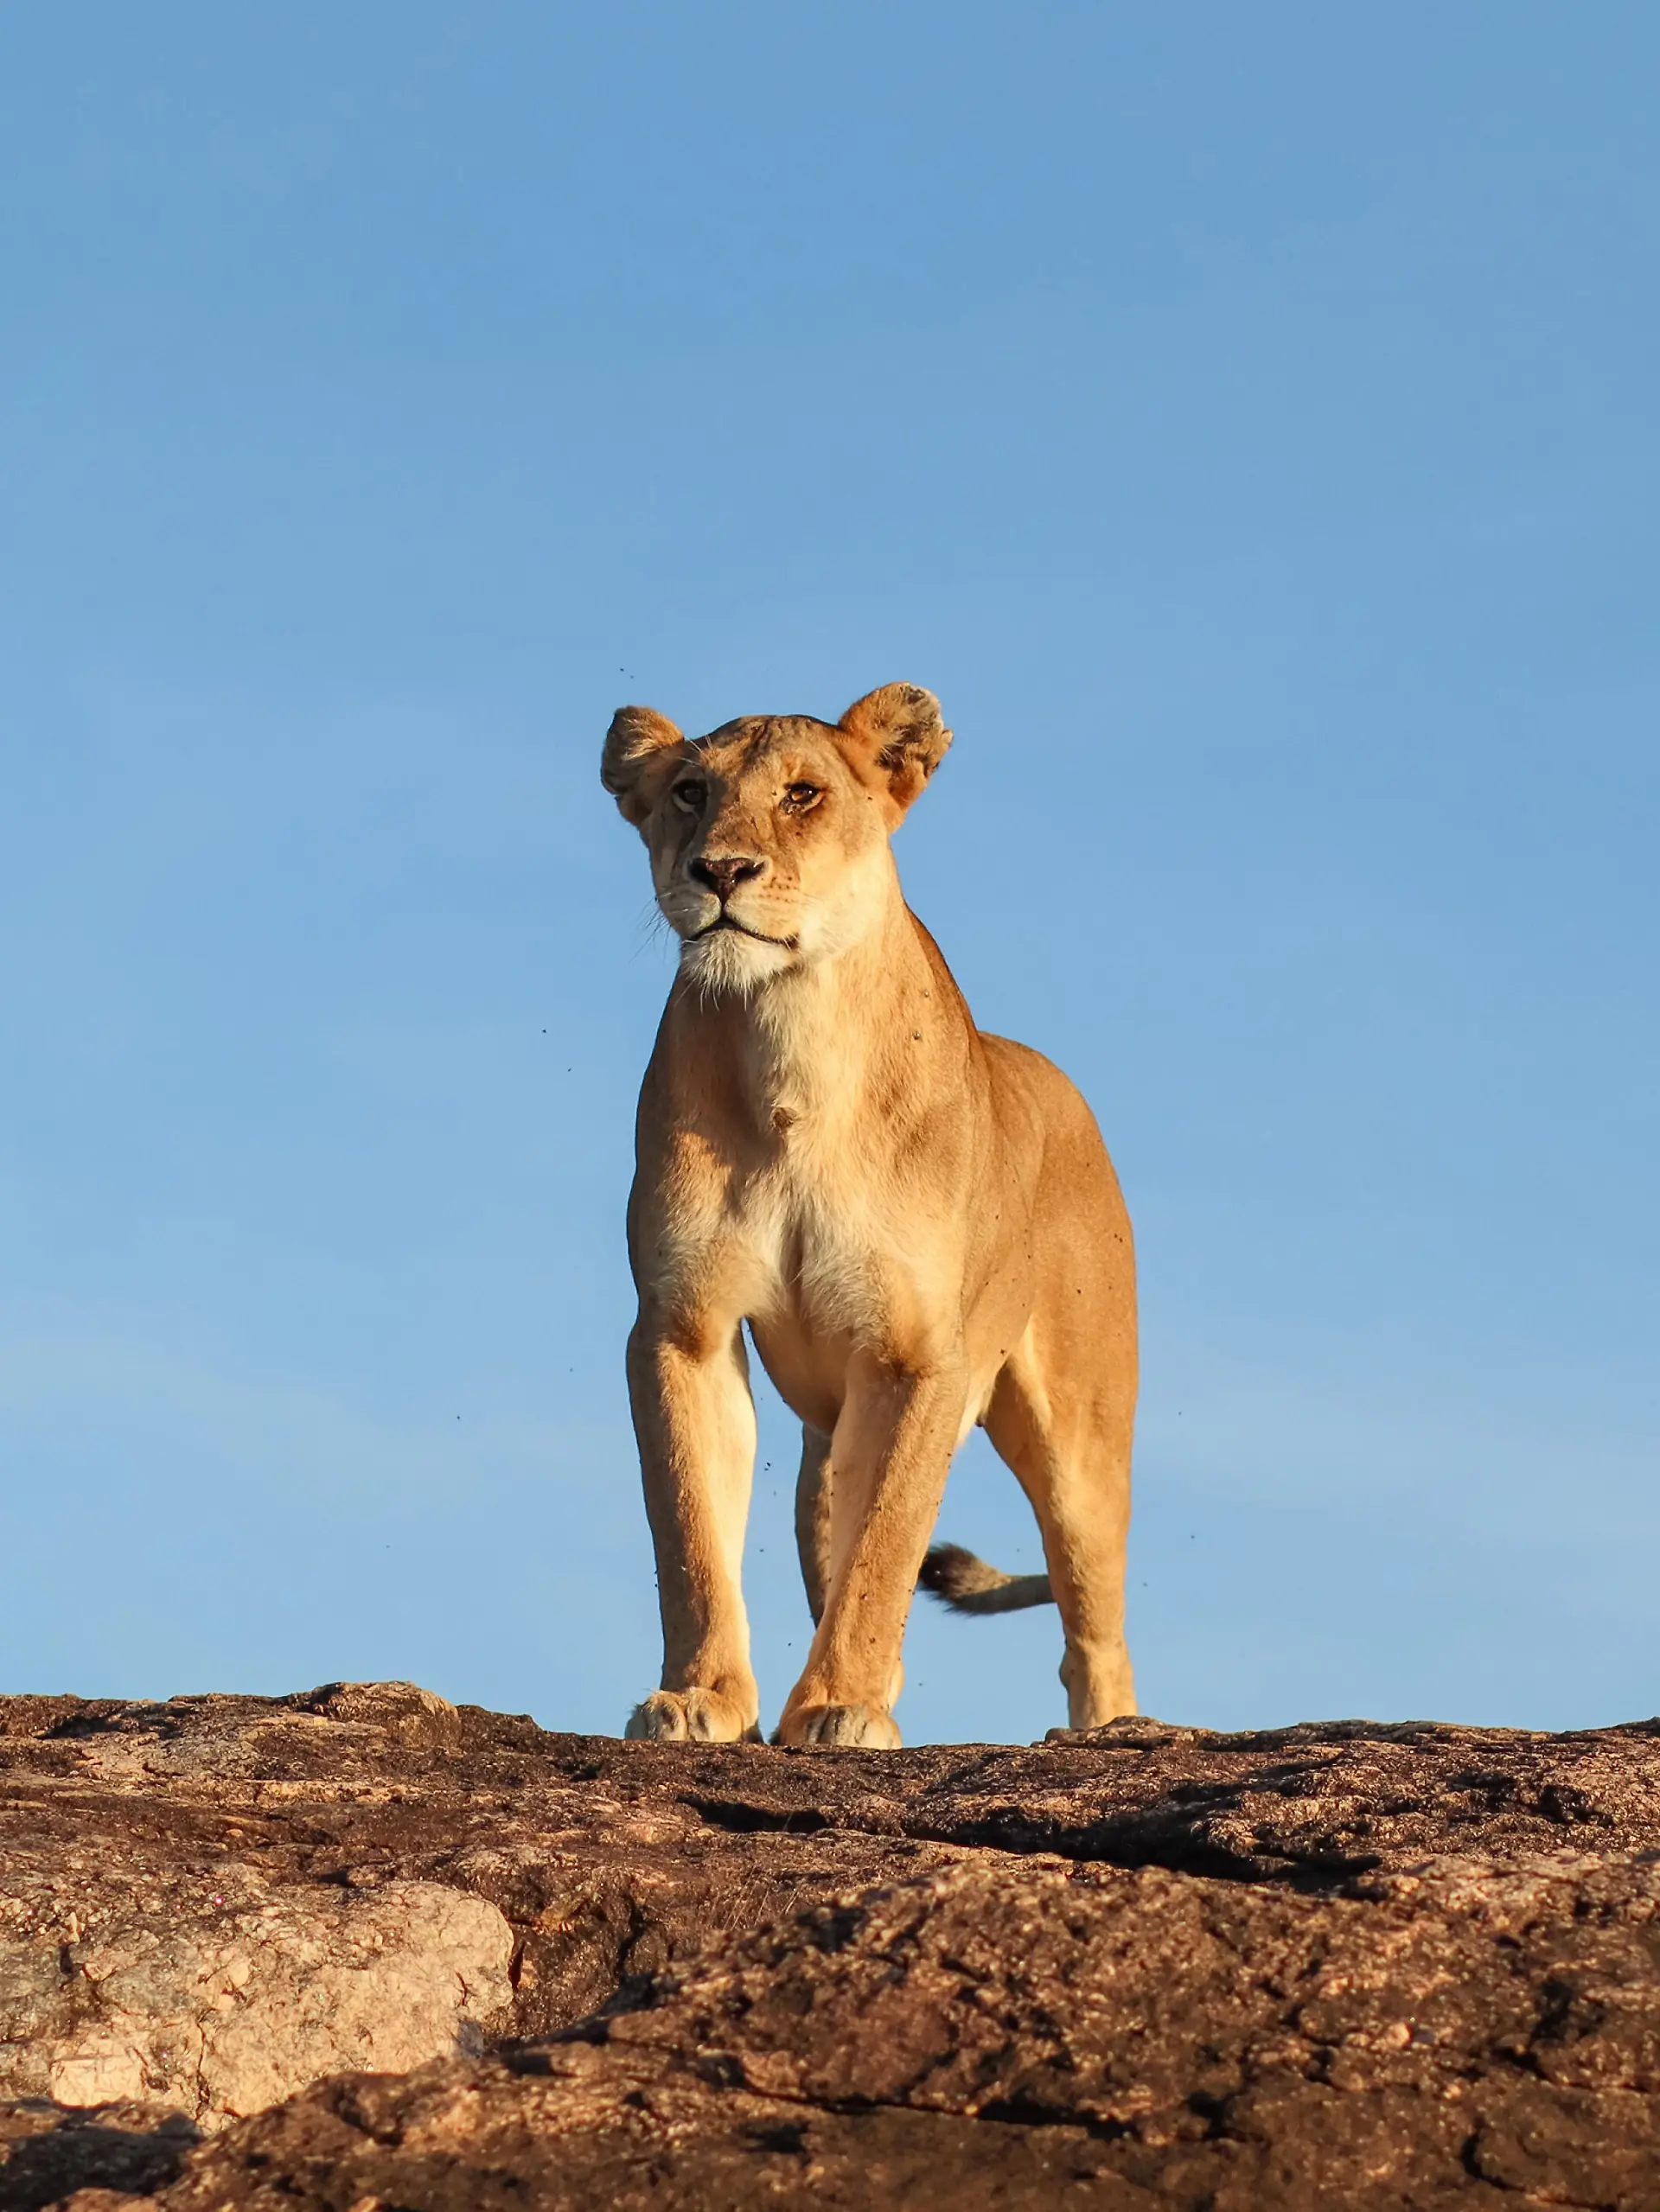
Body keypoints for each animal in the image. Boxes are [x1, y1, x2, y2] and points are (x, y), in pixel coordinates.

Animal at [601, 682, 1137, 1747]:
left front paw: (840, 1708)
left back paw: (1110, 1733)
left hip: (1083, 1440)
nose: (718, 870)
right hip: (826, 1448)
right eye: (689, 792)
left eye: (803, 794)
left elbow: (885, 1550)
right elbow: (691, 1532)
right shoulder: (683, 1326)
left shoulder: (915, 1353)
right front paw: (701, 1700)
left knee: (1093, 1627)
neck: (789, 1036)